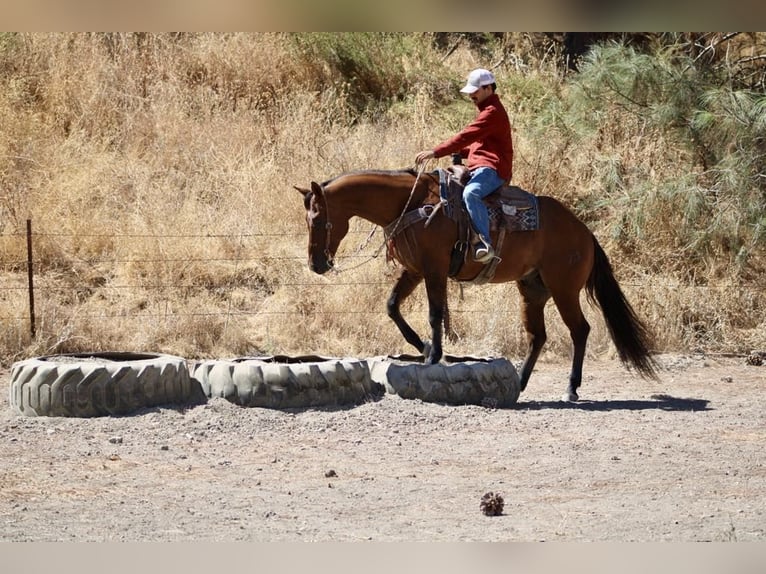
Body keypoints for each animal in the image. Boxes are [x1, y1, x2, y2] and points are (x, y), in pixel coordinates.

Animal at [295, 167, 658, 401]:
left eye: (318, 219)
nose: (316, 265)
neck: (410, 203)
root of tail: (584, 231)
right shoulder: (413, 271)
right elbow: (392, 307)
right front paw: (422, 347)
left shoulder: (434, 269)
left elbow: (435, 313)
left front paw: (433, 355)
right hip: (532, 290)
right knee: (537, 336)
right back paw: (519, 384)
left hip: (564, 289)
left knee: (579, 330)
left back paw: (571, 387)